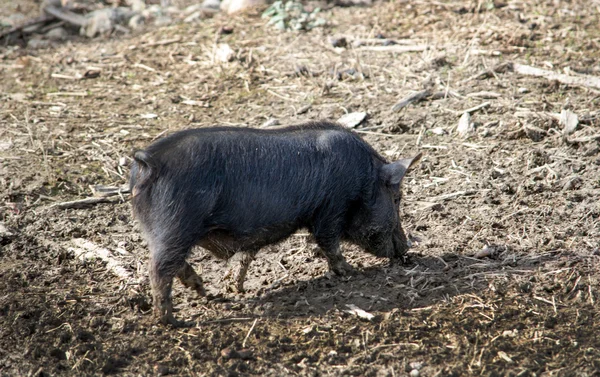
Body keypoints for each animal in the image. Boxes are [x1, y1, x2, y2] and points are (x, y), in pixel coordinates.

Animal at [131, 120, 422, 324]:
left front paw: (236, 286)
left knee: (172, 264)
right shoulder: (330, 209)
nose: (407, 248)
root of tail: (150, 162)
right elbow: (329, 242)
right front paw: (351, 271)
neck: (364, 179)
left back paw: (205, 292)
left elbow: (245, 258)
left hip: (162, 230)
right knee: (158, 269)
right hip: (175, 224)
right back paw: (172, 321)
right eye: (397, 197)